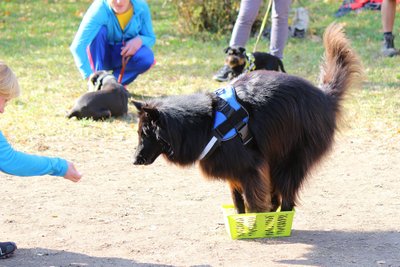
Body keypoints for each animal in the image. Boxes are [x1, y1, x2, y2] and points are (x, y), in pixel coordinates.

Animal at [132, 24, 362, 215]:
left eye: (145, 134)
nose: (134, 160)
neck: (209, 121)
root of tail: (324, 95)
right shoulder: (234, 168)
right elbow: (237, 199)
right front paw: (242, 218)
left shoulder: (250, 167)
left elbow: (252, 199)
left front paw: (255, 219)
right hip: (277, 153)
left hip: (292, 157)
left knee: (287, 195)